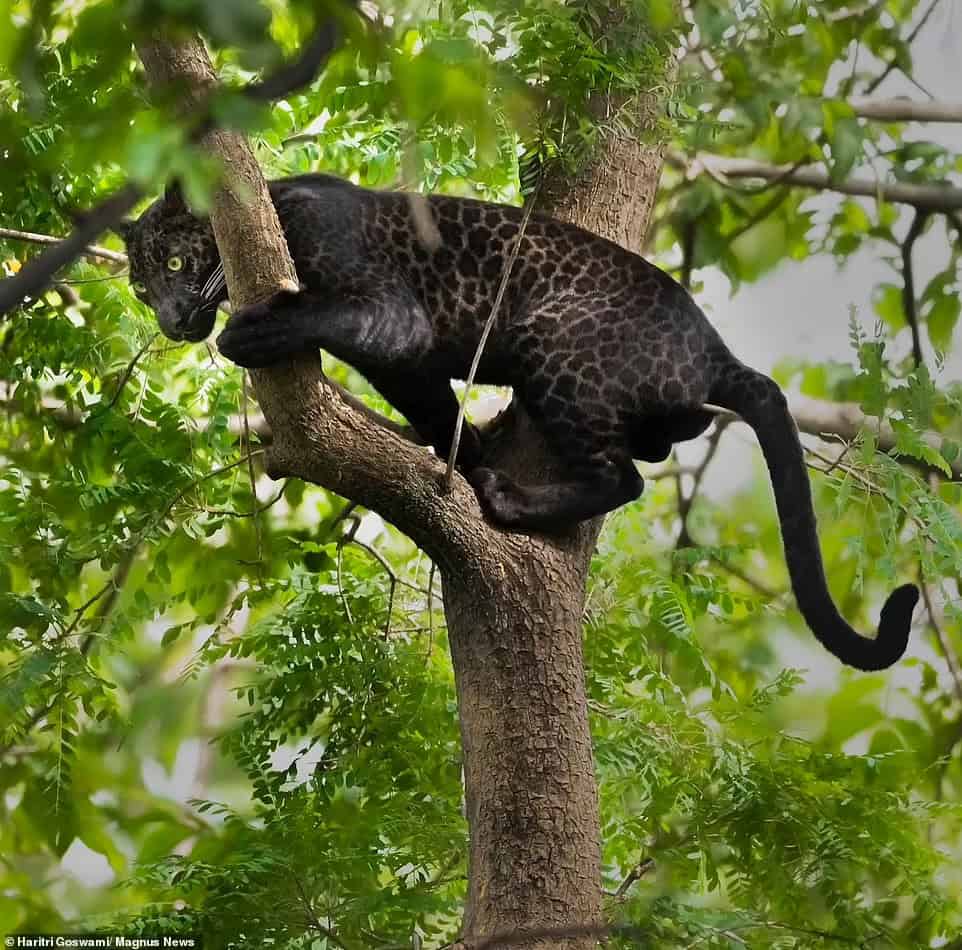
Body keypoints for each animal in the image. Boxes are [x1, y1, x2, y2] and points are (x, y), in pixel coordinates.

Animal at [116, 173, 918, 670]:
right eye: (142, 287)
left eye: (176, 262)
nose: (173, 319)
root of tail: (717, 350)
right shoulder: (405, 362)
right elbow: (439, 411)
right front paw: (464, 457)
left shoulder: (390, 313)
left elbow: (318, 314)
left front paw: (248, 334)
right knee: (658, 446)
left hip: (552, 345)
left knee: (623, 478)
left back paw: (513, 501)